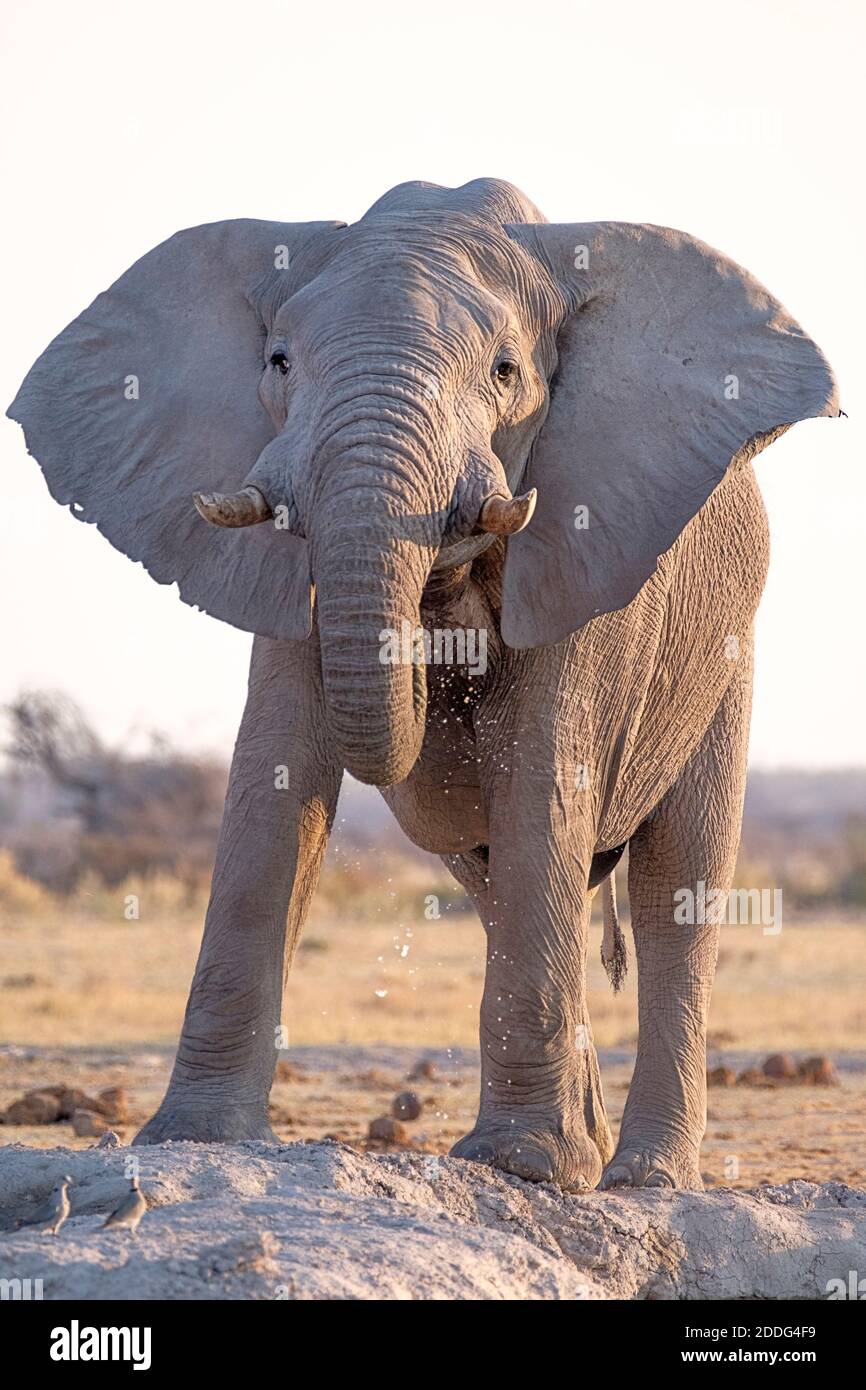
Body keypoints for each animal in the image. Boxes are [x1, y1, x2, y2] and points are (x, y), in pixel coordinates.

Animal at [10, 176, 839, 1195]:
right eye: (278, 361)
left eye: (506, 371)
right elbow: (273, 779)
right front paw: (193, 1140)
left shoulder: (588, 547)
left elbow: (541, 782)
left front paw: (521, 1168)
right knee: (494, 879)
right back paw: (589, 1146)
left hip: (726, 653)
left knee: (672, 883)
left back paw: (643, 1176)